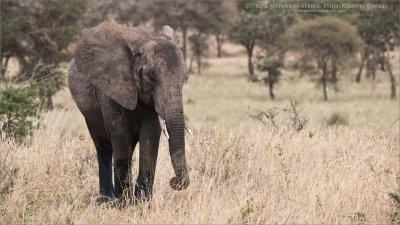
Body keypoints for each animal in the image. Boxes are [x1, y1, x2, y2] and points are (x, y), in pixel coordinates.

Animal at [68, 22, 191, 206]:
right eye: (151, 78)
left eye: (183, 78)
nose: (174, 181)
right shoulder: (111, 88)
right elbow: (119, 132)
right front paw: (123, 204)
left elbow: (151, 134)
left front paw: (142, 203)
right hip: (89, 114)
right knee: (103, 147)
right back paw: (105, 200)